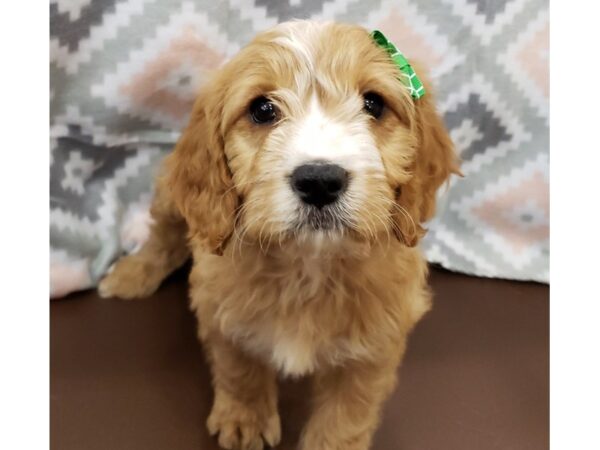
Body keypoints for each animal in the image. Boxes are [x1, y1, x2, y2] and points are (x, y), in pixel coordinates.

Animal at [99, 20, 460, 450]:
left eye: (373, 104)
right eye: (262, 109)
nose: (320, 180)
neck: (309, 264)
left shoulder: (376, 342)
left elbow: (348, 410)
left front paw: (332, 443)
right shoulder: (222, 307)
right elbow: (239, 366)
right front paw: (245, 421)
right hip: (172, 196)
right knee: (164, 238)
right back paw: (130, 275)